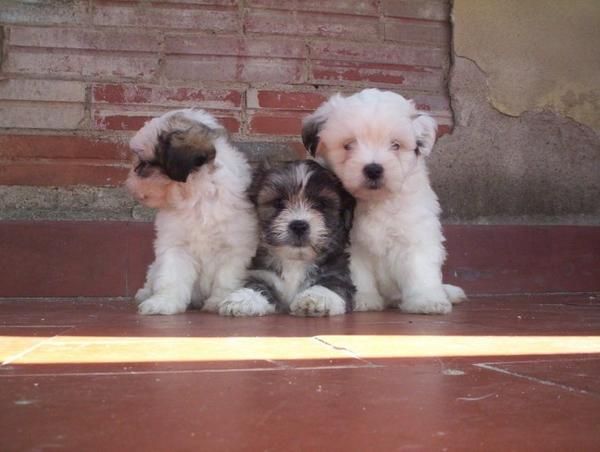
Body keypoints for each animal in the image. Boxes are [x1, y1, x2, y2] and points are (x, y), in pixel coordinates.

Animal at [126, 108, 258, 314]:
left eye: (144, 163)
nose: (128, 181)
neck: (196, 196)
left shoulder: (235, 248)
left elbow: (226, 278)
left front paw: (218, 302)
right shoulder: (175, 246)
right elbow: (171, 277)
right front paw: (163, 302)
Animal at [218, 161, 354, 316]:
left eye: (321, 204)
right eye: (278, 203)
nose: (299, 225)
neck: (295, 261)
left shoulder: (337, 273)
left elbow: (332, 285)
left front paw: (316, 297)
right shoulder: (263, 273)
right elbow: (257, 285)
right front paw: (244, 299)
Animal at [302, 88, 466, 314]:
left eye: (395, 145)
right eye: (348, 145)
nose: (373, 169)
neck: (376, 201)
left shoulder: (415, 233)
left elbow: (420, 269)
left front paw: (426, 300)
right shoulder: (351, 245)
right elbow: (358, 274)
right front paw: (364, 299)